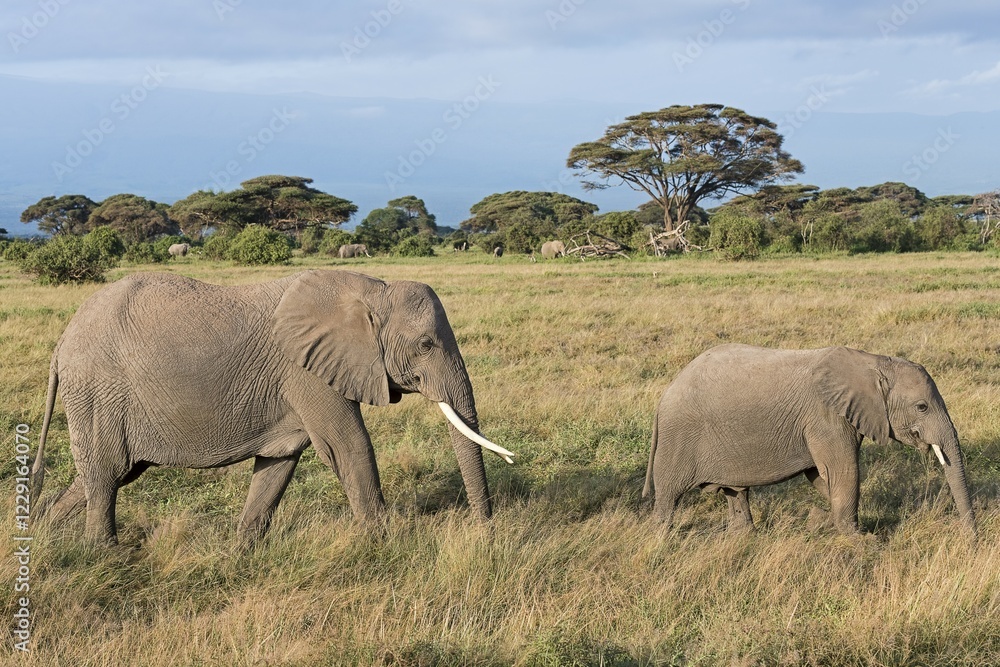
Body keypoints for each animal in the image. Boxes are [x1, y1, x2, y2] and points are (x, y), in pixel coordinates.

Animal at [31, 270, 514, 544]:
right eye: (426, 344)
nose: (486, 534)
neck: (372, 290)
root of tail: (61, 343)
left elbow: (279, 463)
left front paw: (243, 554)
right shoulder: (307, 372)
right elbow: (349, 448)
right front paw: (386, 547)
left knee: (102, 476)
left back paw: (44, 537)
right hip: (99, 392)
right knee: (107, 476)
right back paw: (104, 556)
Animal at [643, 344, 974, 536]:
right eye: (922, 407)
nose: (971, 540)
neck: (872, 362)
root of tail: (664, 395)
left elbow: (821, 476)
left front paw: (827, 521)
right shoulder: (825, 417)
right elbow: (843, 472)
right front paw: (859, 540)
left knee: (735, 492)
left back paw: (745, 538)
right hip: (679, 437)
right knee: (668, 495)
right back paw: (661, 541)